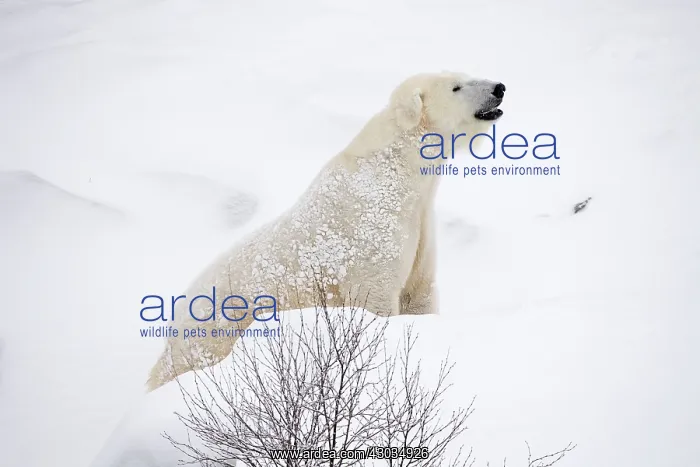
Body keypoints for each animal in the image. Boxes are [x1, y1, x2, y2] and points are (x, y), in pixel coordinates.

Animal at [145, 71, 506, 392]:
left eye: (467, 74)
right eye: (457, 86)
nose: (499, 89)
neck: (396, 170)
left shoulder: (421, 228)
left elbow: (419, 293)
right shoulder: (373, 230)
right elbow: (376, 297)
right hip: (215, 329)